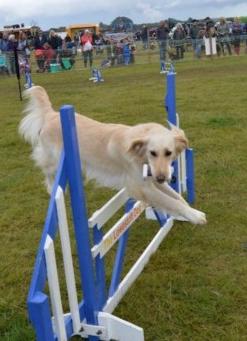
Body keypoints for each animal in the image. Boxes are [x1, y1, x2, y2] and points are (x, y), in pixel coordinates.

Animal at [19, 85, 206, 224]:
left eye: (168, 153)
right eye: (152, 153)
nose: (162, 178)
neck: (138, 155)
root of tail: (52, 114)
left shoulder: (151, 179)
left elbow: (177, 197)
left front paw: (190, 212)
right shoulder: (141, 187)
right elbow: (171, 201)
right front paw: (196, 216)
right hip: (54, 160)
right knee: (48, 174)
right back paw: (53, 189)